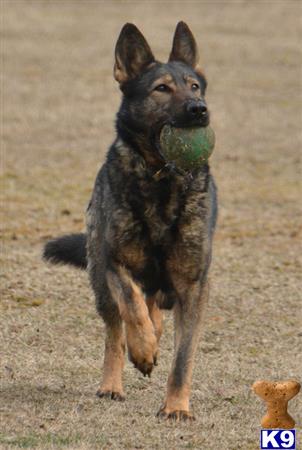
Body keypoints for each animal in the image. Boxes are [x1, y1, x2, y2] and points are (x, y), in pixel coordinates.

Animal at [43, 22, 217, 422]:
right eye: (162, 88)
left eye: (195, 86)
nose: (200, 110)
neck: (162, 183)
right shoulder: (114, 262)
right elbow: (131, 308)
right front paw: (143, 351)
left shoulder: (193, 286)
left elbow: (183, 357)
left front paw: (177, 407)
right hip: (99, 278)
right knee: (115, 329)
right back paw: (113, 382)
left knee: (155, 308)